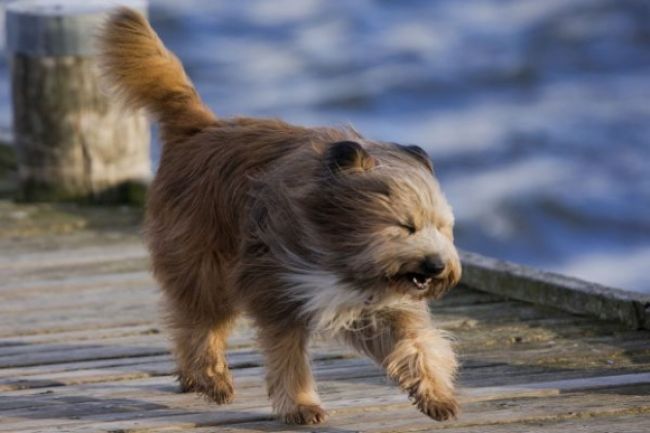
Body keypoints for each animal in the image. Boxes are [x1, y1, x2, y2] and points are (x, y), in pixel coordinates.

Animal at [98, 8, 460, 424]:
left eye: (443, 228)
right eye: (405, 226)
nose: (436, 266)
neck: (339, 249)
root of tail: (201, 128)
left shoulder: (381, 306)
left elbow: (417, 343)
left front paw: (435, 394)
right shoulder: (279, 289)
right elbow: (288, 359)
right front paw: (301, 405)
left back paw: (194, 378)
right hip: (205, 267)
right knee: (197, 326)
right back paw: (210, 378)